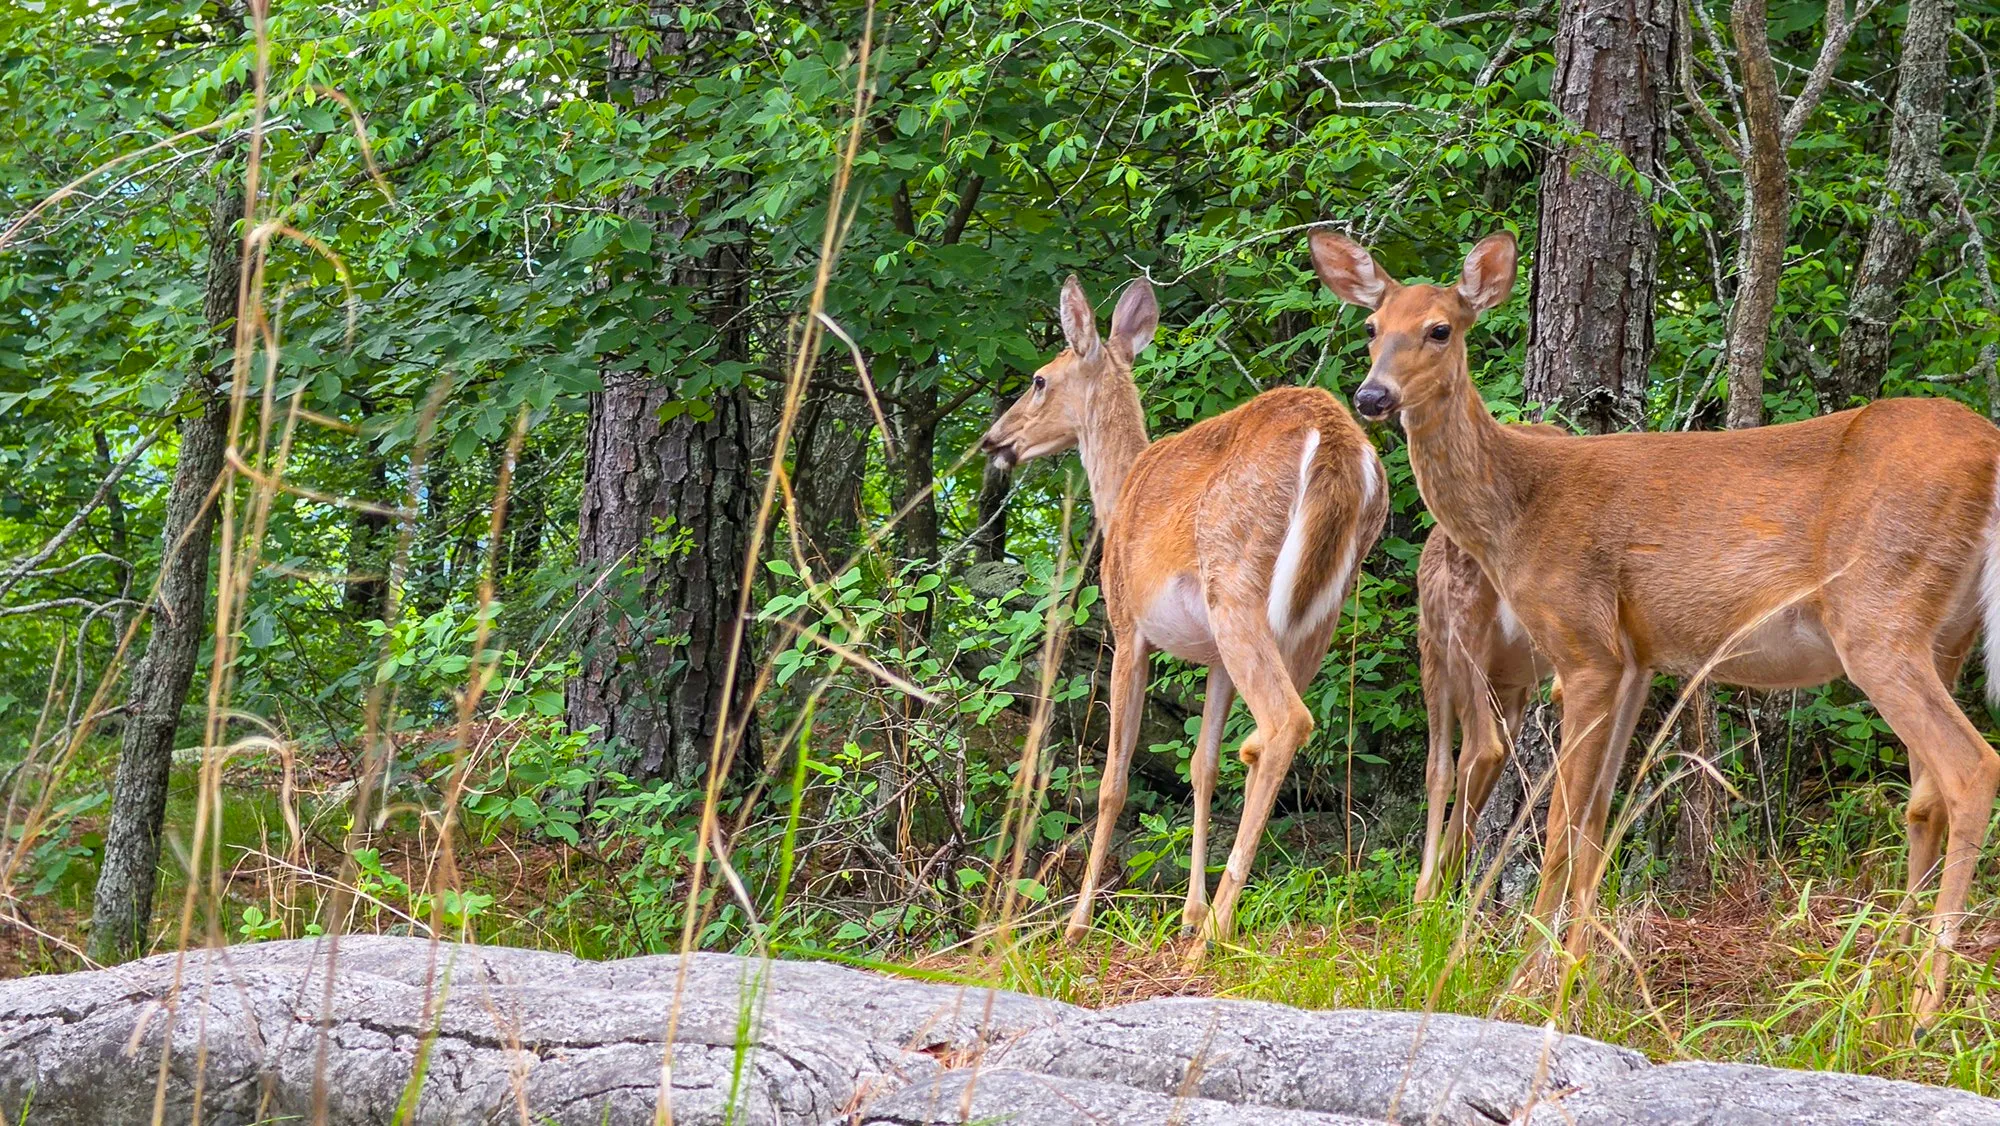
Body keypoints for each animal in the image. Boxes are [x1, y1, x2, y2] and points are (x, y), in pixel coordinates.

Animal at [979, 274, 1388, 948]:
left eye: (1040, 378)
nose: (994, 441)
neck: (1117, 494)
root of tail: (1336, 441)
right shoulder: (1214, 660)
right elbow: (1202, 765)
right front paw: (1190, 908)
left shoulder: (1128, 627)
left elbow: (1114, 780)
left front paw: (1078, 922)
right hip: (1320, 611)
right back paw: (1213, 919)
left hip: (1237, 586)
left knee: (1286, 722)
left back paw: (1216, 932)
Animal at [1310, 227, 2000, 1023]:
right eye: (1370, 328)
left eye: (1440, 329)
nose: (1372, 396)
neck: (1519, 509)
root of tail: (1991, 457)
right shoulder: (1636, 657)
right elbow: (1597, 824)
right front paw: (1575, 978)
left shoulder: (1584, 646)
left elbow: (1558, 830)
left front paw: (1523, 986)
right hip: (1944, 634)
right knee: (1924, 798)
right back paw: (1877, 985)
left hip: (1879, 615)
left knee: (1971, 767)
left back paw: (1922, 1006)